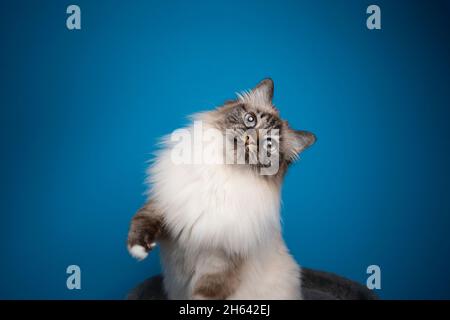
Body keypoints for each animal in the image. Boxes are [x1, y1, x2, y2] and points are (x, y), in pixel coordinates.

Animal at [126, 79, 316, 298]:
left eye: (269, 144)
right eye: (250, 120)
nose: (249, 139)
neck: (222, 172)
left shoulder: (217, 265)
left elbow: (202, 295)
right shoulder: (168, 206)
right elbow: (143, 218)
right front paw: (138, 249)